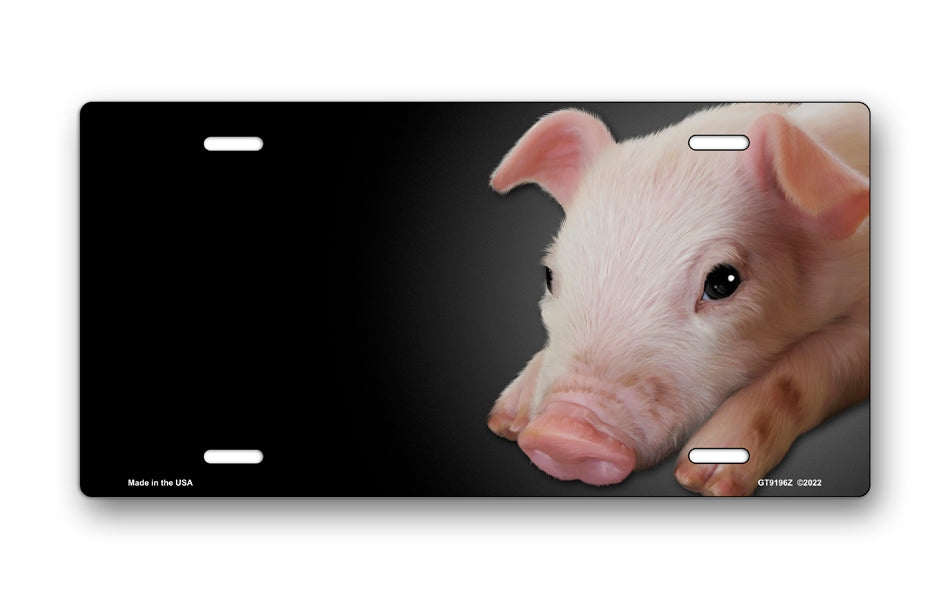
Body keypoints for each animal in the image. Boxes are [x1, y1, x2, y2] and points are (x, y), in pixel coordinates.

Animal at [487, 103, 869, 496]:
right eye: (549, 275)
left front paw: (703, 481)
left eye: (723, 282)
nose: (563, 432)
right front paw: (505, 420)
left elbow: (795, 377)